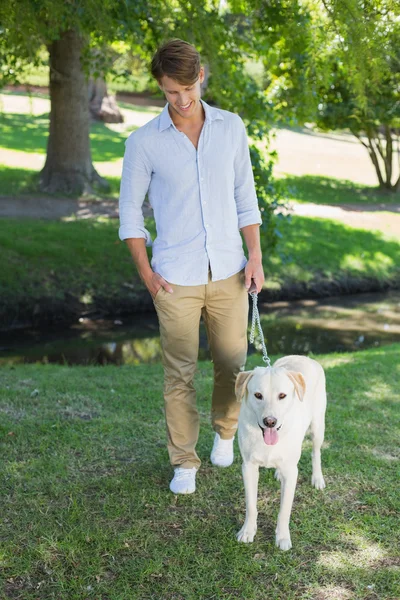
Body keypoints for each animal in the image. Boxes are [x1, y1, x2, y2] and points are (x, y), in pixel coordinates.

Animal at [236, 354, 326, 552]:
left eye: (282, 396)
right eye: (258, 395)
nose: (270, 421)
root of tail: (303, 356)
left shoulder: (292, 473)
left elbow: (284, 510)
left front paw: (283, 537)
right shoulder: (248, 468)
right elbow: (251, 505)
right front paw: (248, 531)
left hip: (318, 427)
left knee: (316, 453)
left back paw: (317, 478)